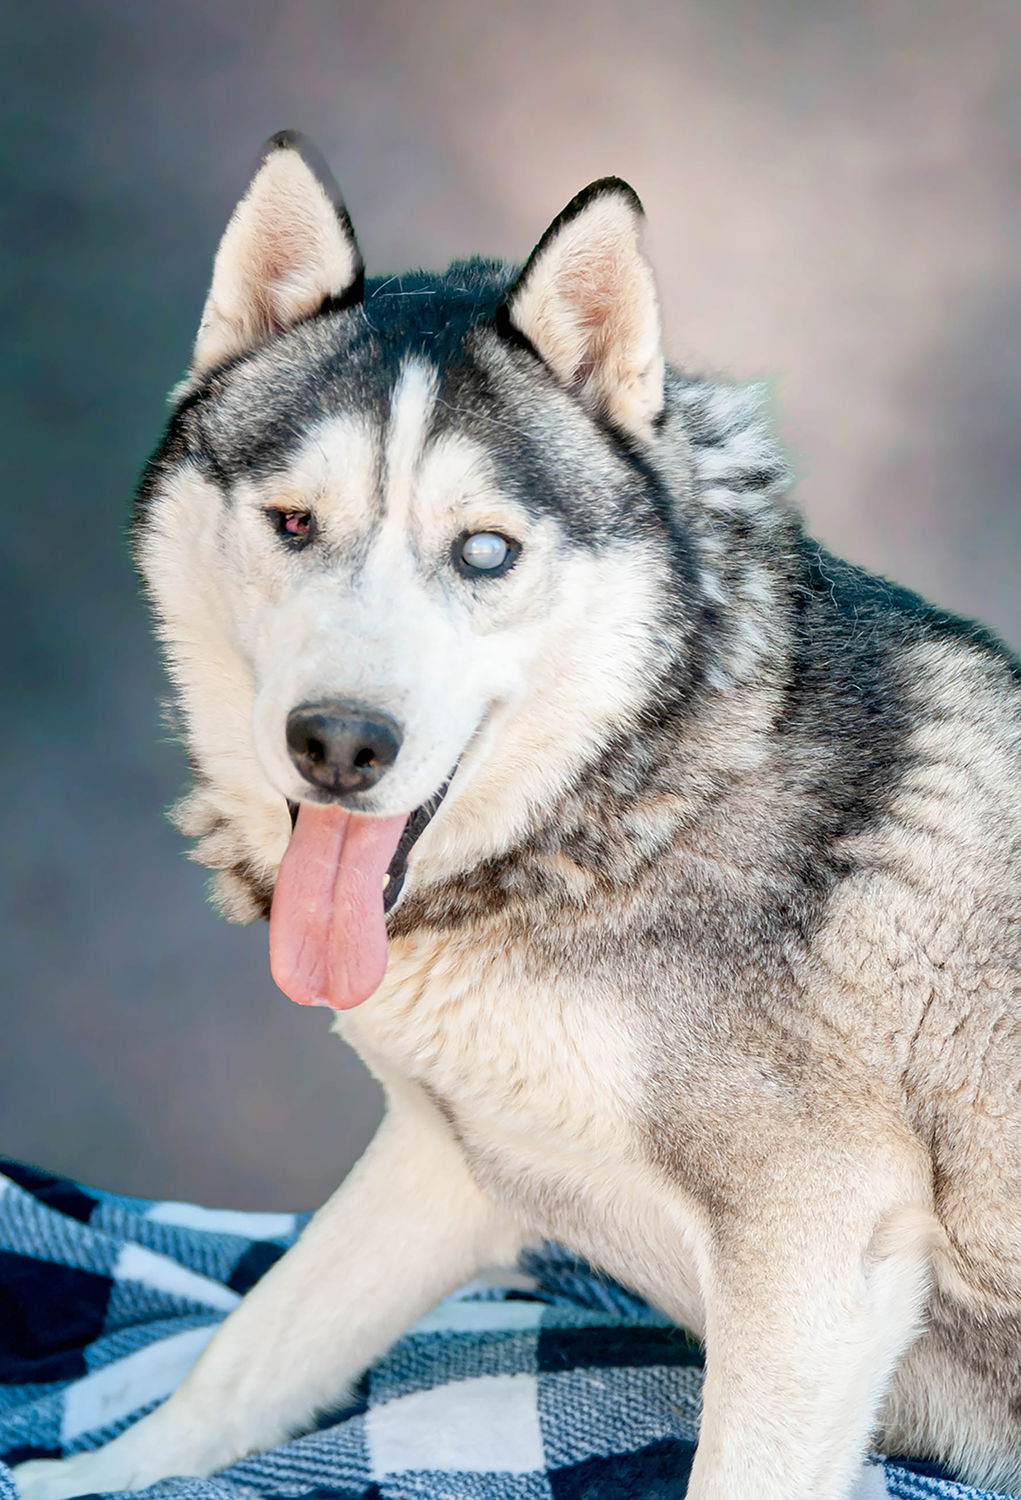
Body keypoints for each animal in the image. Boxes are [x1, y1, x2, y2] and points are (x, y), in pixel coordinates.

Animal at [13, 132, 1019, 1500]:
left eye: (483, 553)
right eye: (292, 522)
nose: (339, 743)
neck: (627, 806)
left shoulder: (817, 1252)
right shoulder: (444, 1160)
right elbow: (247, 1351)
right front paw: (92, 1475)